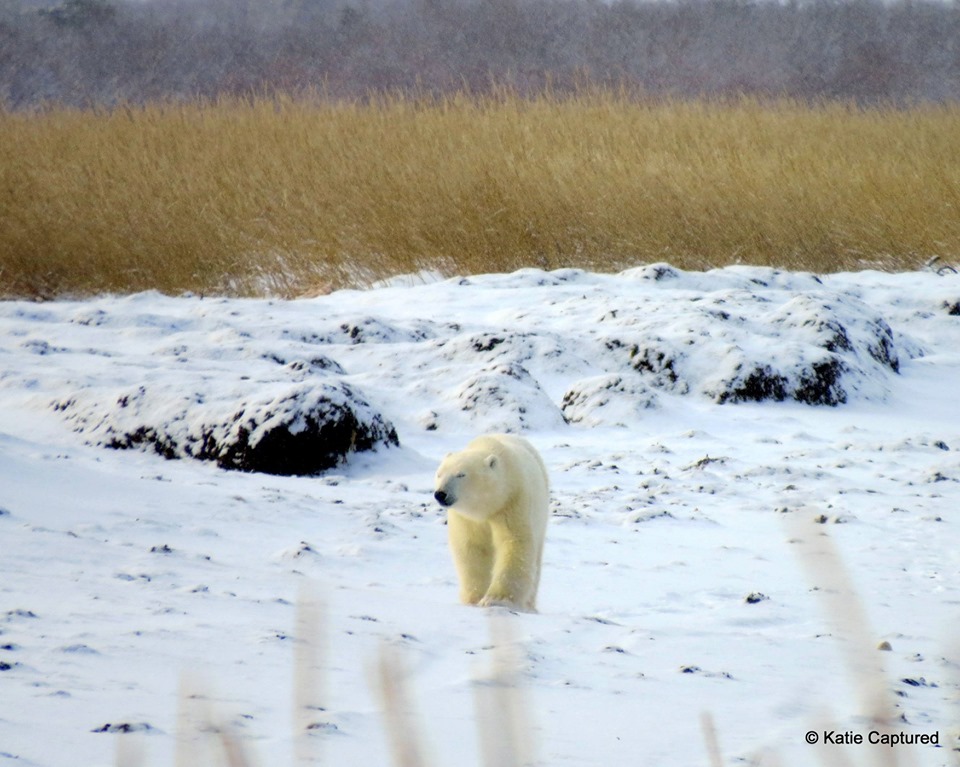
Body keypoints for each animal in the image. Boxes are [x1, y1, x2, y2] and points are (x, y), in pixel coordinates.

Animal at [433, 434, 549, 612]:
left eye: (461, 475)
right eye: (439, 474)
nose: (440, 494)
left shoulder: (513, 502)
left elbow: (514, 543)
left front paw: (495, 600)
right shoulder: (465, 518)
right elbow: (471, 549)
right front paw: (474, 598)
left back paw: (529, 606)